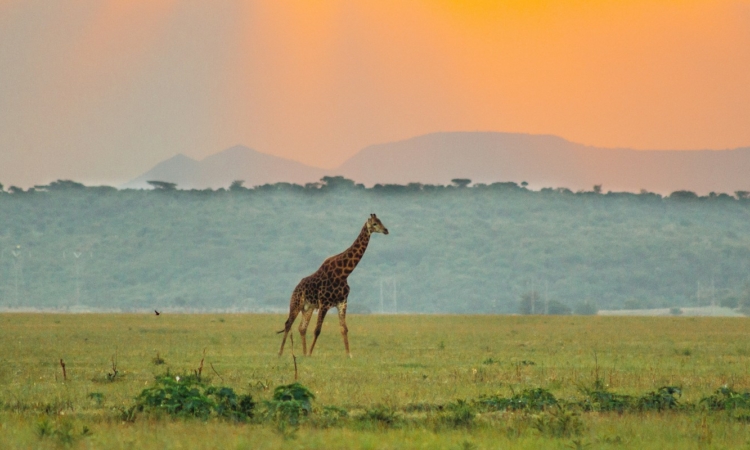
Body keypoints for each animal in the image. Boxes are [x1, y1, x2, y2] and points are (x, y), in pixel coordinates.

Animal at [278, 214, 389, 358]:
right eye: (375, 223)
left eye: (380, 221)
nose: (386, 230)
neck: (344, 273)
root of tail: (296, 287)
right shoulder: (324, 303)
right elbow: (317, 329)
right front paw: (311, 354)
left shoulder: (342, 302)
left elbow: (344, 329)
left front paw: (348, 355)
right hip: (296, 303)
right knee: (288, 324)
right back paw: (281, 353)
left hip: (308, 308)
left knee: (302, 328)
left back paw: (303, 353)